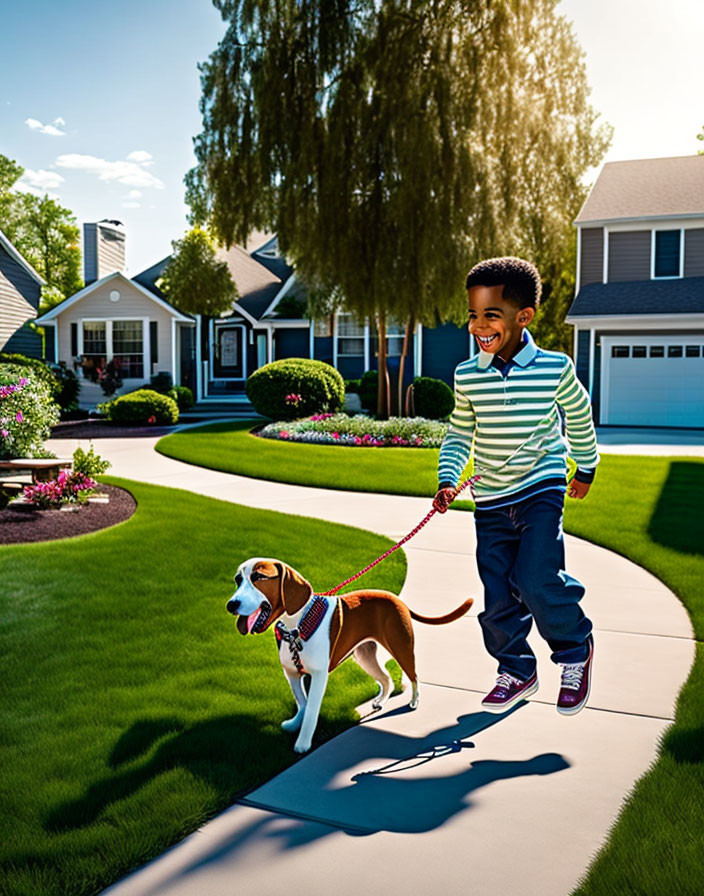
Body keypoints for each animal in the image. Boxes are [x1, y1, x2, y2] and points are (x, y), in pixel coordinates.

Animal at [228, 556, 476, 752]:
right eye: (238, 580)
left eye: (259, 577)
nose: (231, 604)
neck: (296, 625)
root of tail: (397, 599)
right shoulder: (292, 673)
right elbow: (302, 702)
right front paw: (294, 723)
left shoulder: (319, 675)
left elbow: (312, 710)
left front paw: (303, 743)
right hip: (365, 656)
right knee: (386, 679)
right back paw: (379, 701)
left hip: (402, 647)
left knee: (413, 676)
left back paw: (414, 701)